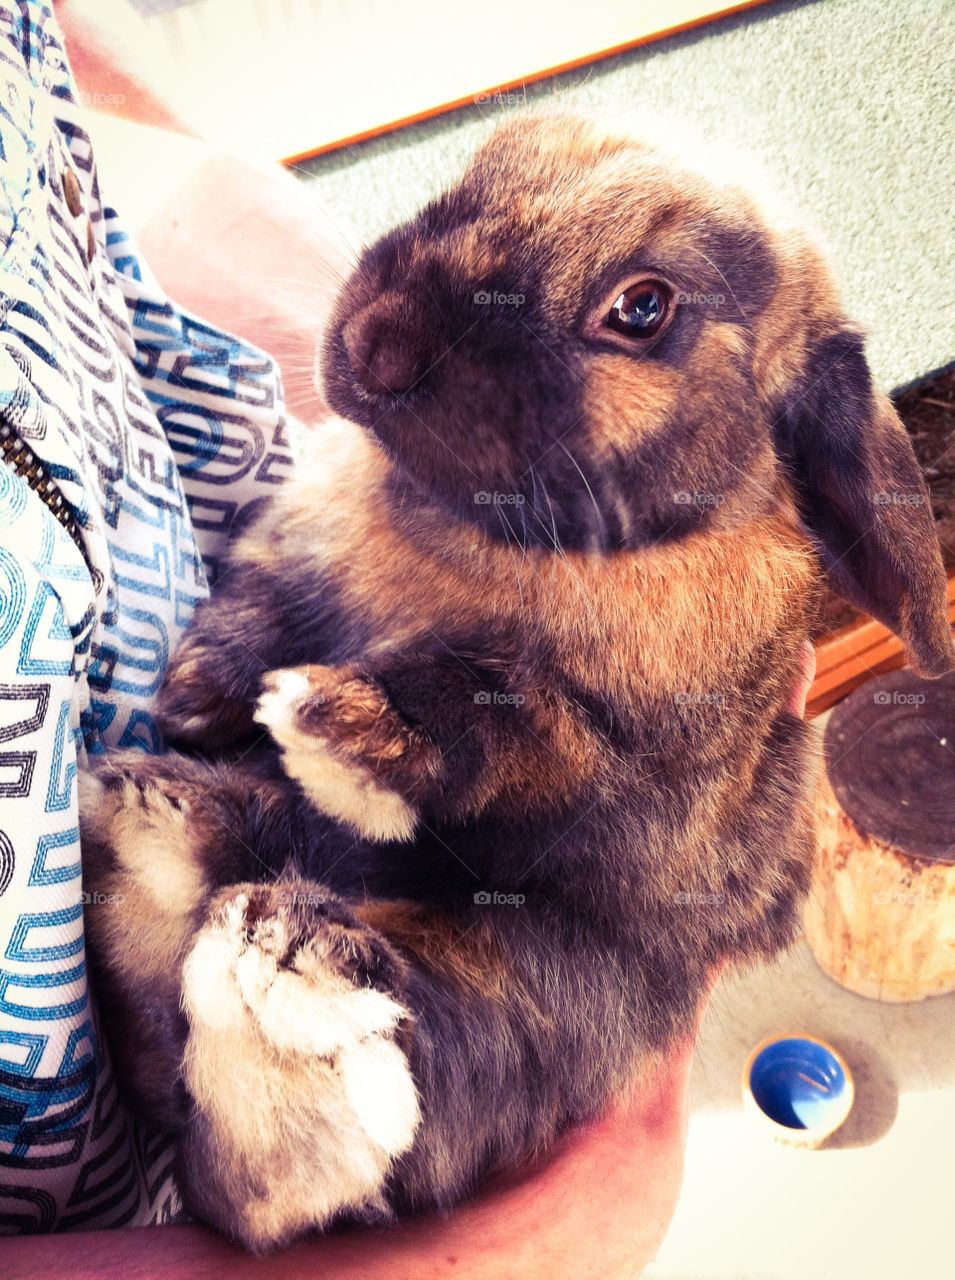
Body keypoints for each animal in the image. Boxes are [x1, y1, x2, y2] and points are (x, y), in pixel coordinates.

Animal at [78, 111, 954, 1252]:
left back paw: (269, 972)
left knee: (291, 1148)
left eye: (641, 307)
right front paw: (197, 688)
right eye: (491, 158)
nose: (377, 340)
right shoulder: (298, 553)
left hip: (549, 995)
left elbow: (518, 725)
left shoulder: (641, 793)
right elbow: (267, 605)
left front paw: (345, 727)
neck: (488, 535)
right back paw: (155, 831)